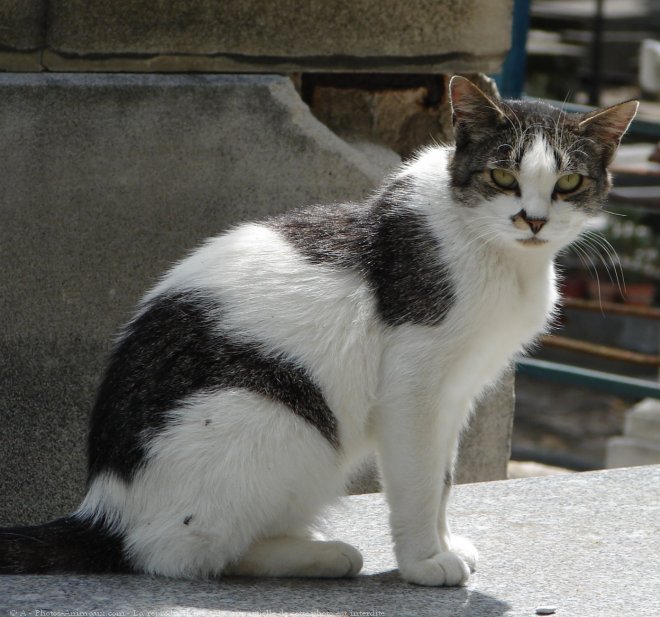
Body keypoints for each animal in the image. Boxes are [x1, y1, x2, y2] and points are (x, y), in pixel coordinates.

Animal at [0, 74, 640, 584]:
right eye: (503, 175)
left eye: (568, 184)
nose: (533, 219)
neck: (501, 257)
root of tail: (102, 511)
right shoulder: (413, 389)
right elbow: (417, 481)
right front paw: (423, 563)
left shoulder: (457, 394)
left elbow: (443, 478)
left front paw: (443, 543)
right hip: (275, 419)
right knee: (175, 553)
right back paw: (323, 556)